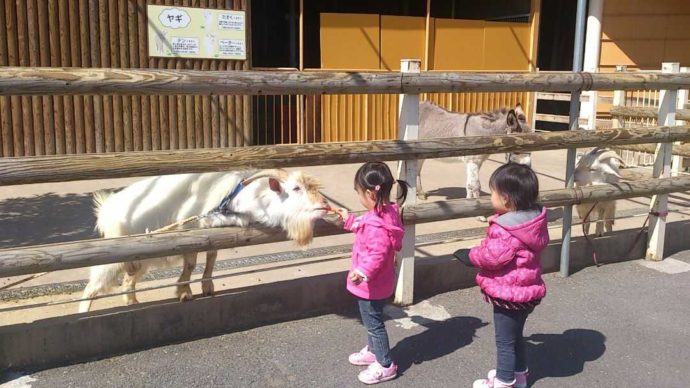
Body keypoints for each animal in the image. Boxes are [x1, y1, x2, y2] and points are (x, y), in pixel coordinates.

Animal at [79, 169, 326, 312]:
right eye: (296, 188)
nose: (324, 205)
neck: (235, 197)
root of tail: (107, 209)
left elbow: (212, 255)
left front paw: (206, 288)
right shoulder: (191, 228)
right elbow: (191, 262)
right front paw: (184, 292)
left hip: (141, 260)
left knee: (128, 280)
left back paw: (132, 303)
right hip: (116, 253)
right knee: (92, 286)